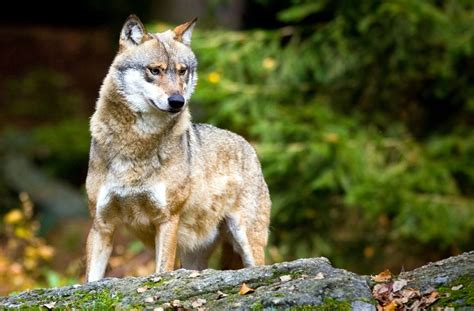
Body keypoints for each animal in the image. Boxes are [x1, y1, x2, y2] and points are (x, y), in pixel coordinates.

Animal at [85, 14, 270, 282]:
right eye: (155, 70)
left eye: (182, 71)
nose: (177, 101)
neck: (137, 143)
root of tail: (247, 144)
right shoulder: (101, 224)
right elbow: (90, 278)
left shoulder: (167, 219)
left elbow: (162, 270)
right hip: (194, 257)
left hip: (246, 241)